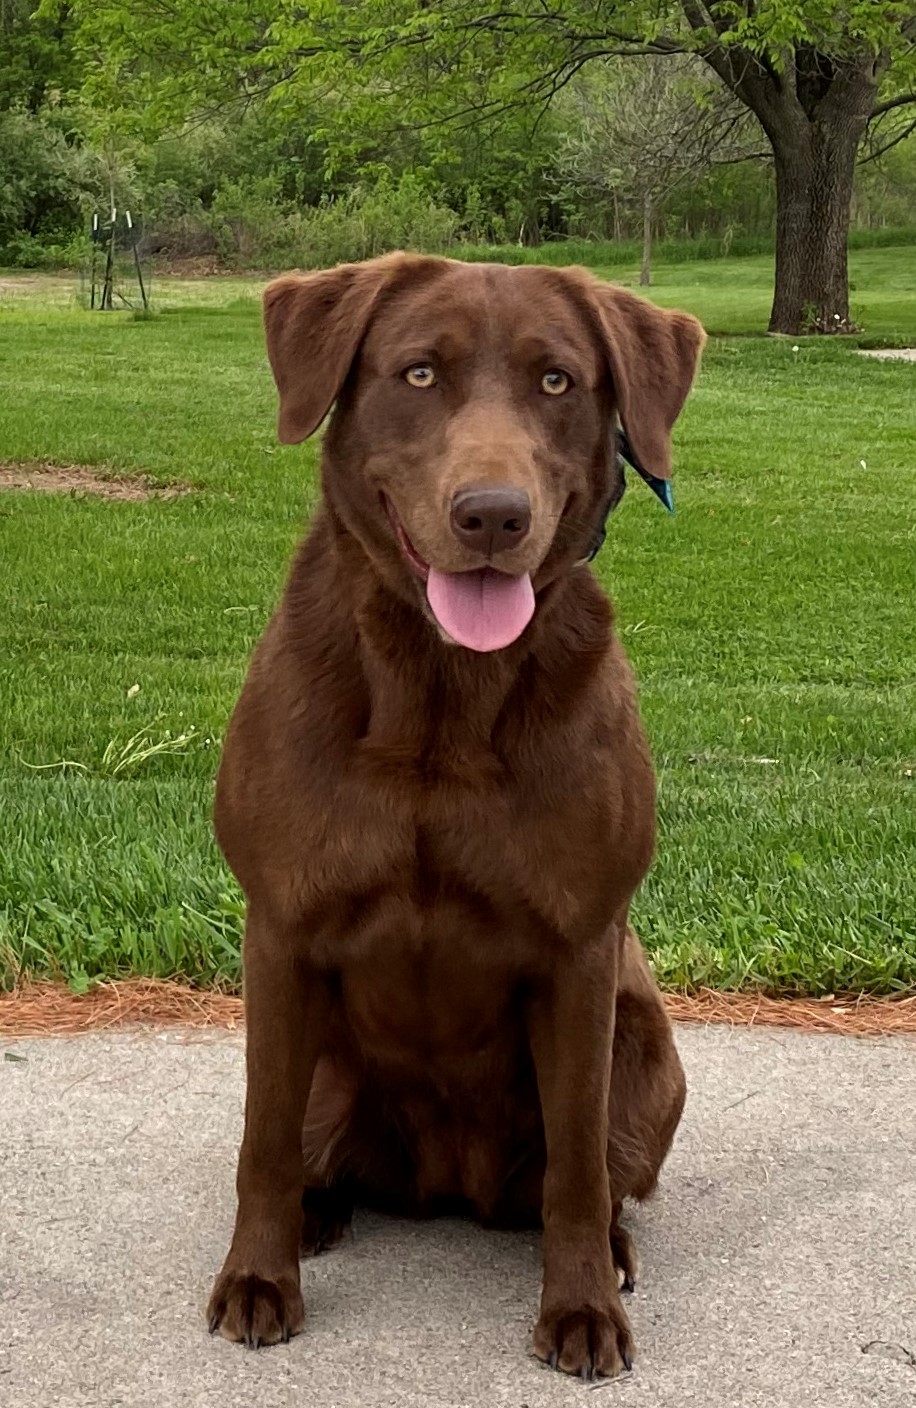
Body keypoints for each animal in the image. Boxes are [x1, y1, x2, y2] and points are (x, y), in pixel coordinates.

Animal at [208, 253, 706, 1374]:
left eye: (558, 380)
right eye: (421, 373)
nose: (491, 514)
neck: (440, 690)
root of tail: (444, 1182)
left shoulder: (580, 949)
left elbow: (575, 1167)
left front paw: (580, 1308)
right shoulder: (281, 929)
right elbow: (261, 1142)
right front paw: (258, 1279)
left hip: (648, 1053)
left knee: (590, 1170)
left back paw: (611, 1251)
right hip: (328, 1069)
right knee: (306, 1147)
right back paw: (316, 1213)